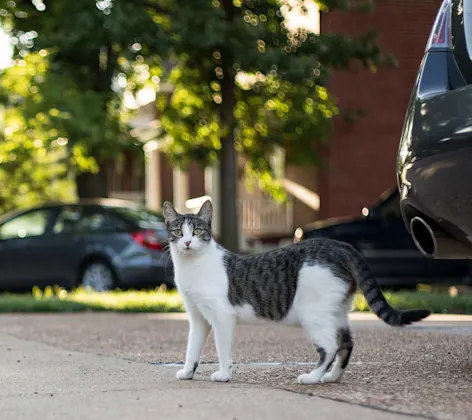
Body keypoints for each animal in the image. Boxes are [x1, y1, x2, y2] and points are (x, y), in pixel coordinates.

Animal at [163, 199, 432, 384]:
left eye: (197, 231)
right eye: (177, 232)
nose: (187, 242)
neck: (192, 267)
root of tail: (338, 246)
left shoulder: (222, 317)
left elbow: (222, 349)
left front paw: (223, 374)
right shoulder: (198, 318)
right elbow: (192, 347)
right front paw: (187, 372)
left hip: (312, 313)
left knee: (330, 347)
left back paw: (311, 377)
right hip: (336, 311)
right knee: (346, 343)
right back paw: (331, 378)